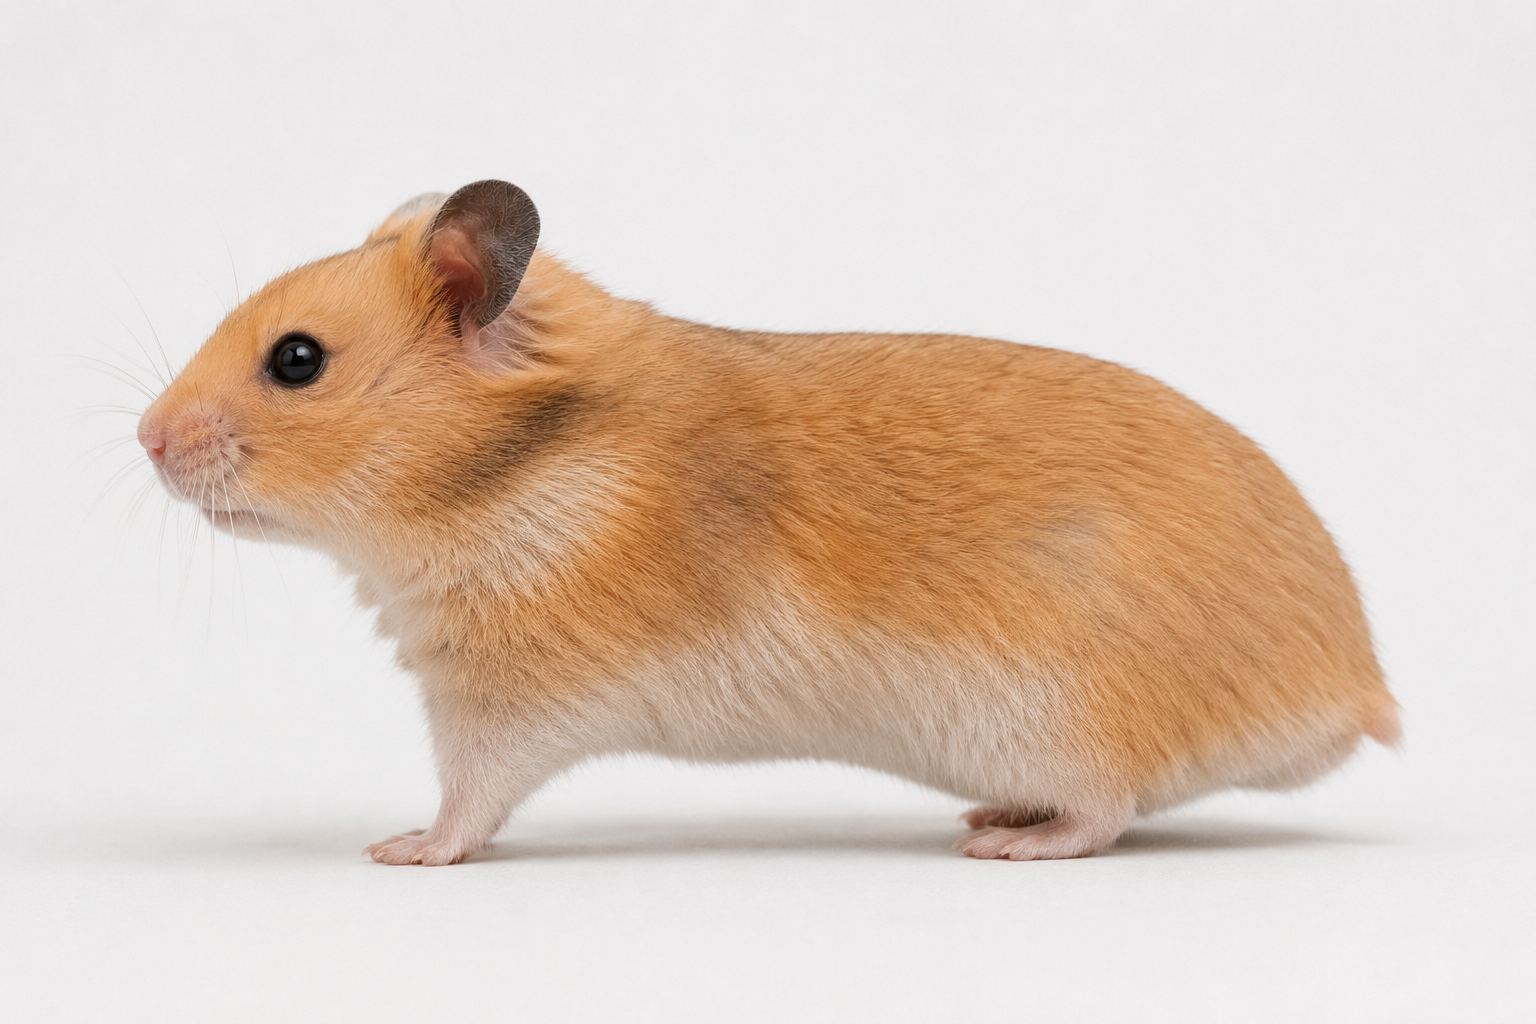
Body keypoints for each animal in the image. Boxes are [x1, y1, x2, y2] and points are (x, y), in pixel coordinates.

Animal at [137, 180, 1399, 864]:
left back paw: (1002, 838)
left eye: (297, 360)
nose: (144, 438)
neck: (505, 472)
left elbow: (468, 800)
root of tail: (1353, 684)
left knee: (1107, 813)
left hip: (1061, 714)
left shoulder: (505, 702)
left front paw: (399, 849)